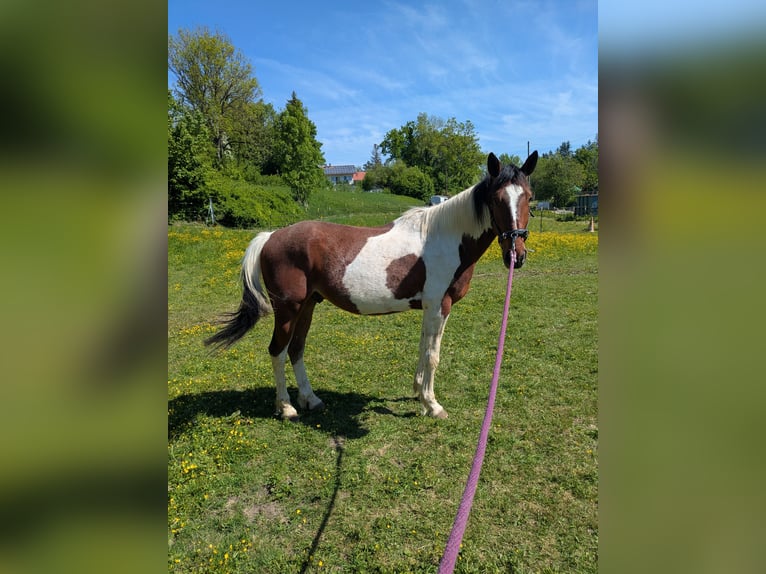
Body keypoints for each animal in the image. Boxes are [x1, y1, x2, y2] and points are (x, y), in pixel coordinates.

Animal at [205, 151, 538, 420]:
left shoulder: (429, 308)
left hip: (308, 306)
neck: (445, 238)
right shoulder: (438, 306)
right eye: (496, 199)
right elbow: (432, 355)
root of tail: (271, 236)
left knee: (296, 350)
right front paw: (433, 405)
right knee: (278, 350)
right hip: (287, 309)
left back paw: (311, 400)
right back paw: (286, 407)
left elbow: (422, 349)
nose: (516, 255)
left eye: (529, 197)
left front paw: (418, 393)